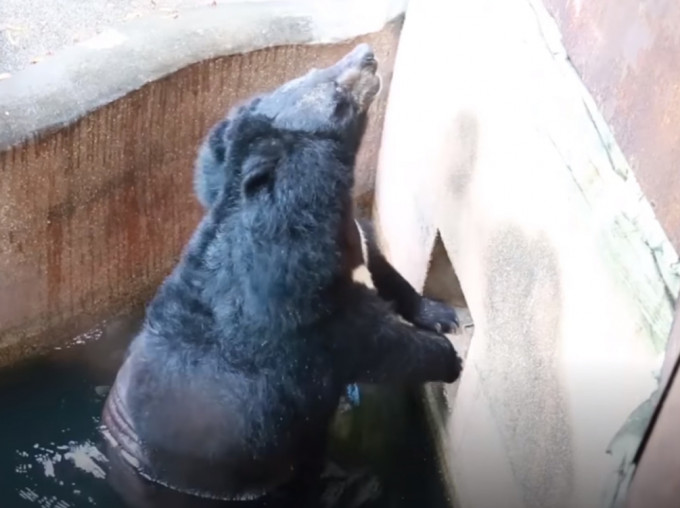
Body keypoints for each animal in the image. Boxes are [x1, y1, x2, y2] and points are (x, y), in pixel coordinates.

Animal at [101, 43, 462, 504]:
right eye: (336, 96)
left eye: (312, 71)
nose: (367, 54)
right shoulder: (306, 324)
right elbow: (375, 344)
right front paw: (449, 358)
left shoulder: (352, 245)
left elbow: (383, 267)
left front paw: (442, 315)